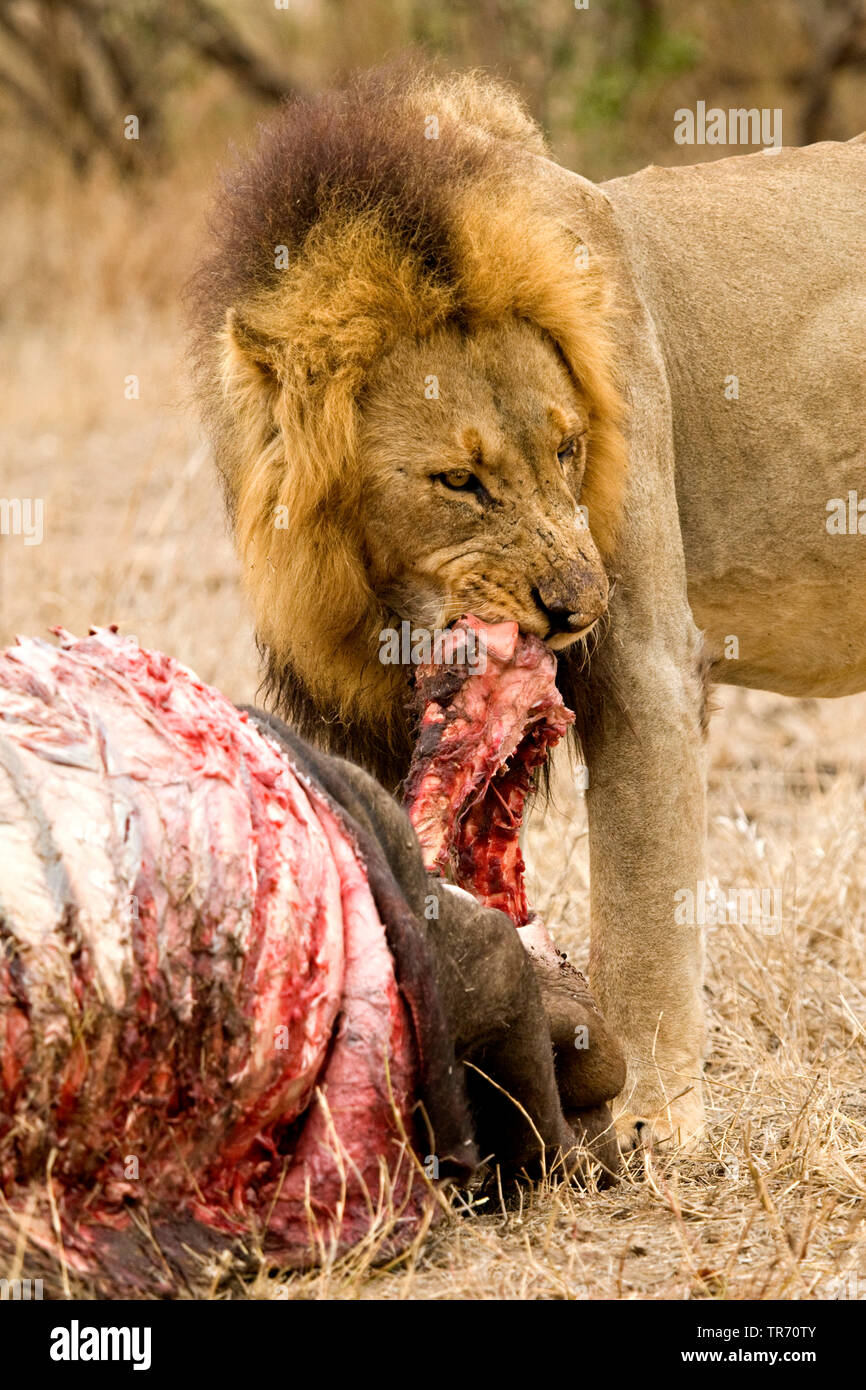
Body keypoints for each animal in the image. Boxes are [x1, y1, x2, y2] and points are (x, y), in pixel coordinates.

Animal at [191, 65, 866, 1145]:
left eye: (567, 448)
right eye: (459, 481)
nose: (580, 606)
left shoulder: (648, 663)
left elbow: (641, 903)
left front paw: (650, 1122)